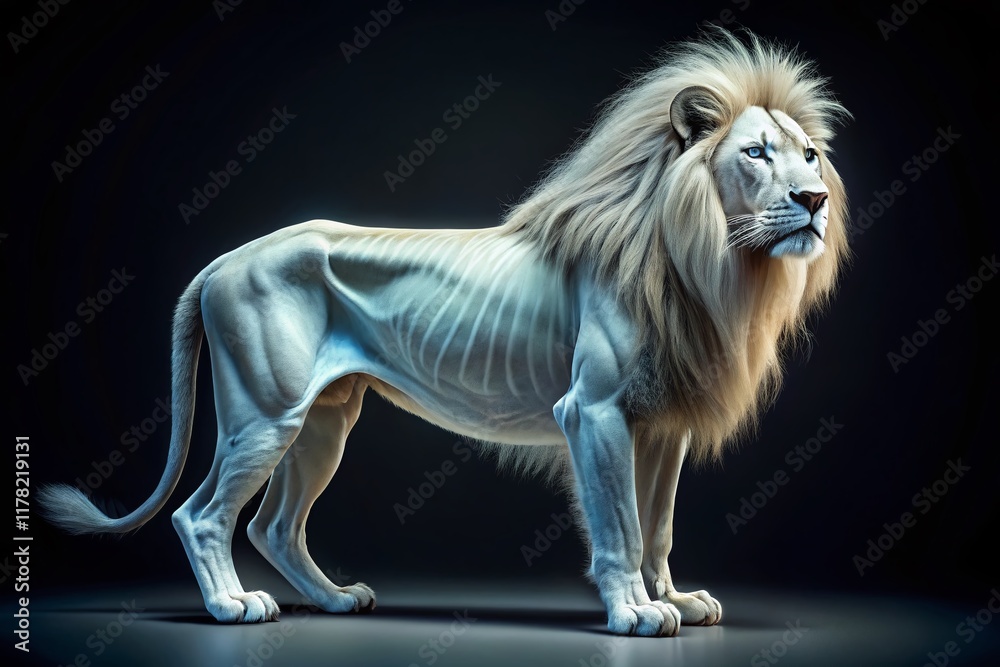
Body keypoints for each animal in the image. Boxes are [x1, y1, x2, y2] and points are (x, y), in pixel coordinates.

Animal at [39, 28, 849, 637]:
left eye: (810, 155)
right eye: (756, 153)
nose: (814, 200)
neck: (711, 262)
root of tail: (222, 260)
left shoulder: (662, 423)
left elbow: (659, 525)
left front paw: (675, 598)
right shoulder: (593, 411)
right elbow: (619, 522)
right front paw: (636, 613)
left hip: (322, 421)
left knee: (274, 525)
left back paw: (336, 599)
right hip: (266, 414)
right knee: (201, 515)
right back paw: (231, 606)